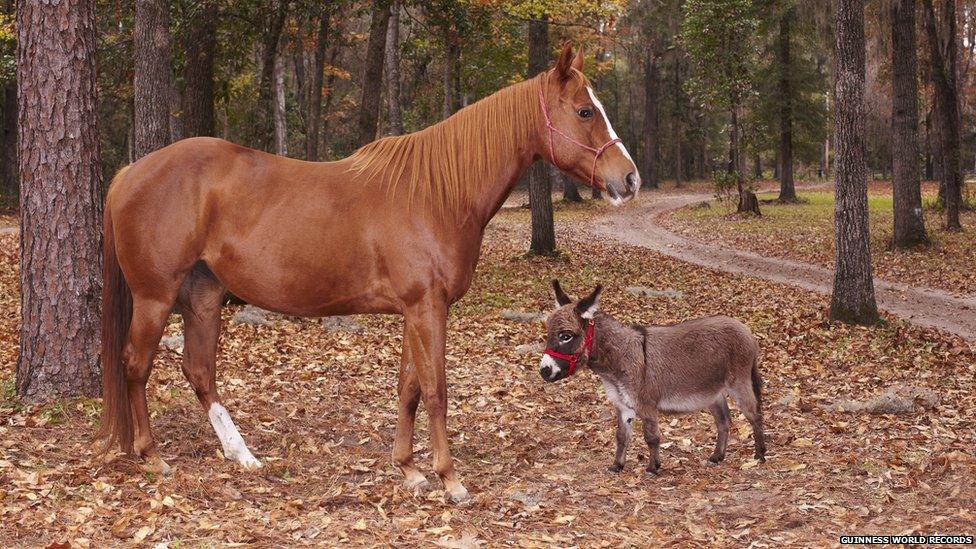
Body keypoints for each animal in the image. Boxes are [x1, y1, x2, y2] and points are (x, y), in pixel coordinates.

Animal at [95, 46, 636, 500]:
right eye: (585, 111)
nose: (628, 178)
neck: (437, 192)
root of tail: (129, 173)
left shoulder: (415, 311)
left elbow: (409, 388)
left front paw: (409, 470)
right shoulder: (427, 308)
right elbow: (436, 390)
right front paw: (450, 479)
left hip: (204, 299)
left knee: (198, 370)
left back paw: (241, 454)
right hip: (154, 298)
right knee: (135, 364)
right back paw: (152, 456)